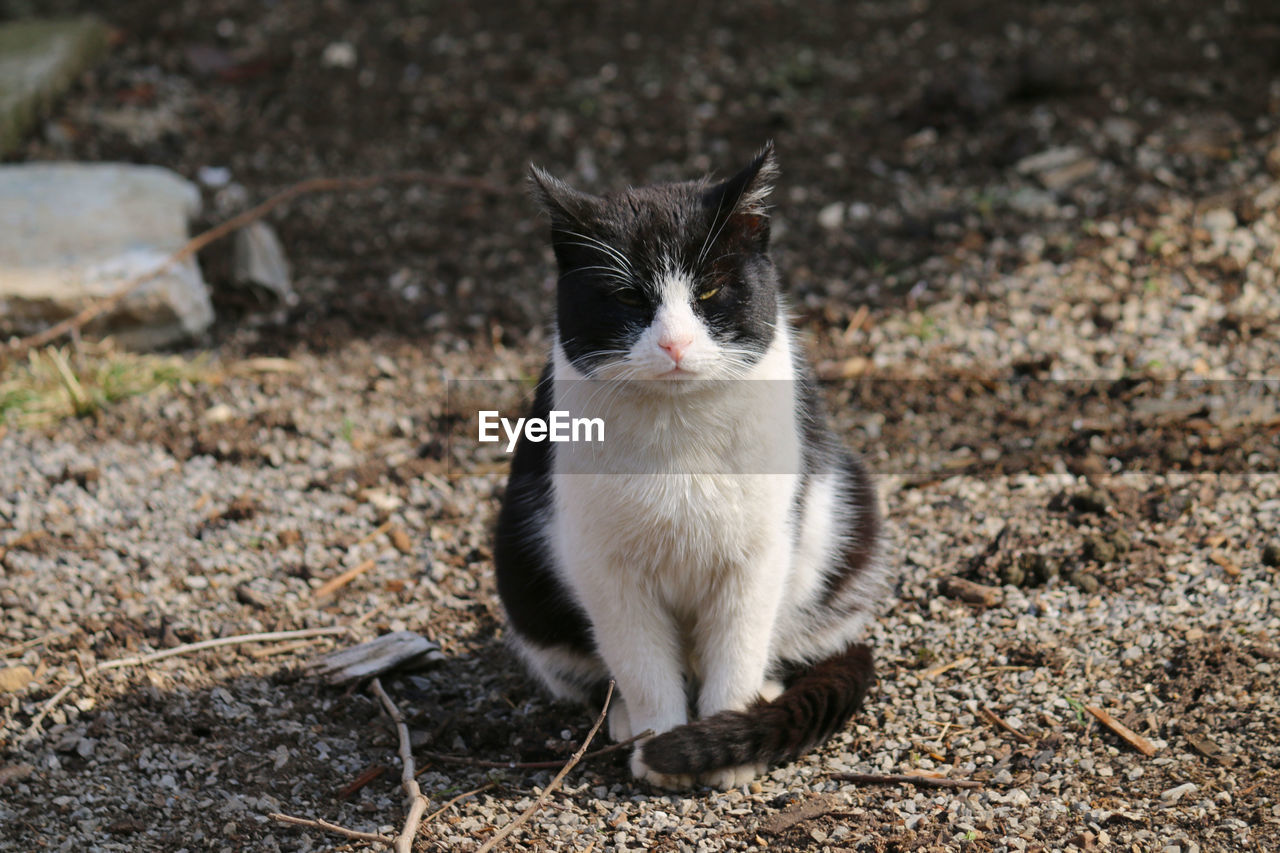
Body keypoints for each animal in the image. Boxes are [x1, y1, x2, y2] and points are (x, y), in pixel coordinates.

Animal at [491, 142, 890, 788]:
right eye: (629, 296)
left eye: (708, 292)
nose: (674, 344)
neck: (678, 436)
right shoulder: (604, 566)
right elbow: (642, 664)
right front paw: (660, 747)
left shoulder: (758, 555)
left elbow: (739, 647)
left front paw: (727, 749)